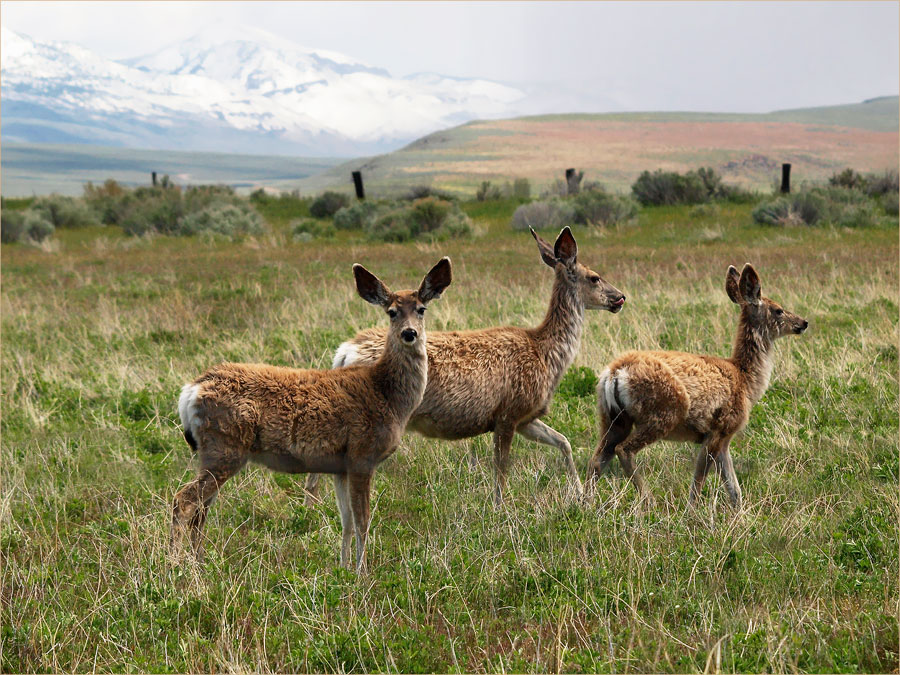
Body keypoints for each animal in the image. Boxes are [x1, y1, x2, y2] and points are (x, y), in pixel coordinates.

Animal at [171, 256, 450, 572]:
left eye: (421, 309)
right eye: (391, 312)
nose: (409, 333)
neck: (386, 395)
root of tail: (191, 389)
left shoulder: (341, 466)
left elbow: (347, 522)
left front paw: (344, 568)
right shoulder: (362, 454)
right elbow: (363, 521)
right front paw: (363, 572)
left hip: (214, 452)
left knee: (201, 509)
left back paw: (199, 562)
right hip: (225, 447)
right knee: (183, 501)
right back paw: (175, 564)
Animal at [302, 228, 624, 508]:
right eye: (595, 277)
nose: (620, 297)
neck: (544, 353)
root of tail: (344, 352)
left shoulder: (525, 417)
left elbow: (564, 442)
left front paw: (581, 495)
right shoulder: (508, 413)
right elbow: (501, 469)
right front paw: (500, 508)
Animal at [584, 262, 808, 508]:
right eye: (778, 309)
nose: (803, 323)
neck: (745, 381)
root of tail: (614, 373)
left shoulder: (725, 437)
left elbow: (734, 488)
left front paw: (739, 512)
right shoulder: (718, 429)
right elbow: (699, 480)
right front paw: (693, 511)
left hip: (612, 417)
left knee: (598, 459)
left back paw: (584, 503)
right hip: (663, 413)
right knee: (623, 450)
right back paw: (648, 501)